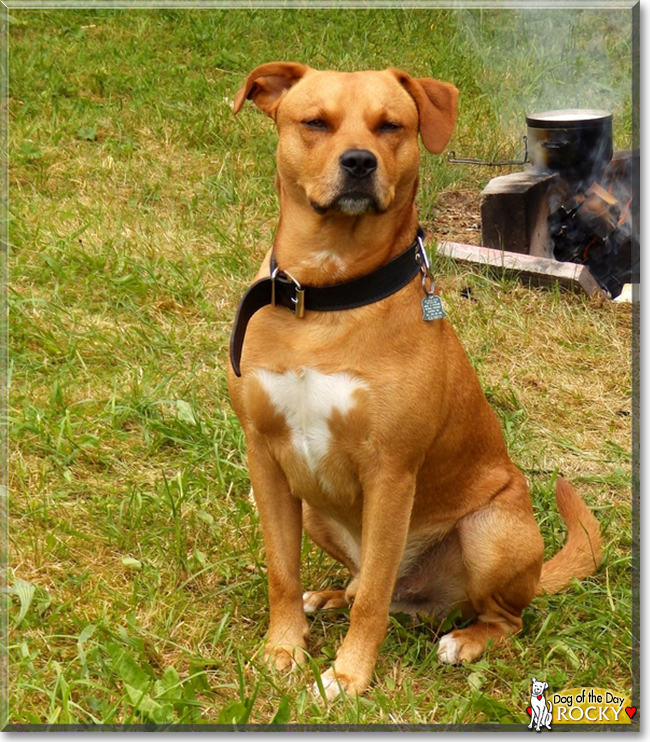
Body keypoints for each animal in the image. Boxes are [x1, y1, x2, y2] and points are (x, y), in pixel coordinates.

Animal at [225, 64, 600, 704]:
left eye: (390, 126)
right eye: (315, 122)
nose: (358, 162)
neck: (328, 296)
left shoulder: (391, 473)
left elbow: (374, 598)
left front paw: (349, 675)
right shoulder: (266, 461)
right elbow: (282, 571)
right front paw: (284, 648)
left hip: (489, 531)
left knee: (493, 614)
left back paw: (467, 640)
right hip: (315, 510)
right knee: (365, 583)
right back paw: (329, 595)